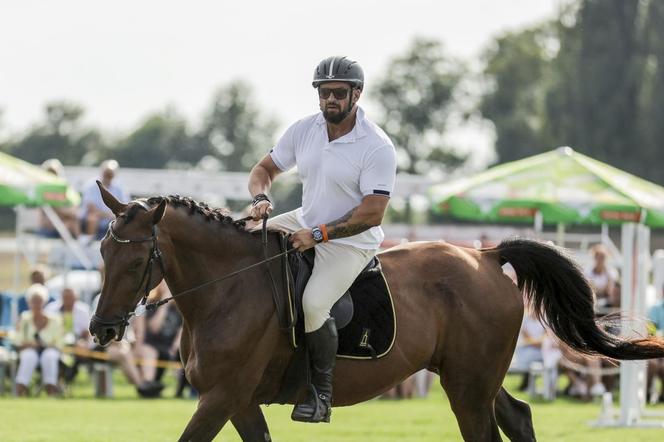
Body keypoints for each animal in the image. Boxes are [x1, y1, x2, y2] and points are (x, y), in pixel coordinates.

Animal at [89, 185, 664, 440]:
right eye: (101, 250)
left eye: (137, 259)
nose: (102, 329)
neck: (226, 290)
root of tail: (484, 256)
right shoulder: (239, 402)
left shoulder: (221, 397)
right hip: (472, 377)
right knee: (518, 416)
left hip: (467, 388)